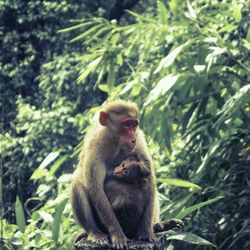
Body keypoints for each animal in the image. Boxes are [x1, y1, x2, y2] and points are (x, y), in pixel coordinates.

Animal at [70, 99, 158, 248]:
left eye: (134, 125)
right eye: (127, 124)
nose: (133, 138)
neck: (116, 144)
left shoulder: (139, 142)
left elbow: (149, 181)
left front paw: (146, 232)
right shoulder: (95, 146)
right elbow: (96, 189)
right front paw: (117, 234)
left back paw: (159, 226)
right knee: (77, 184)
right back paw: (95, 233)